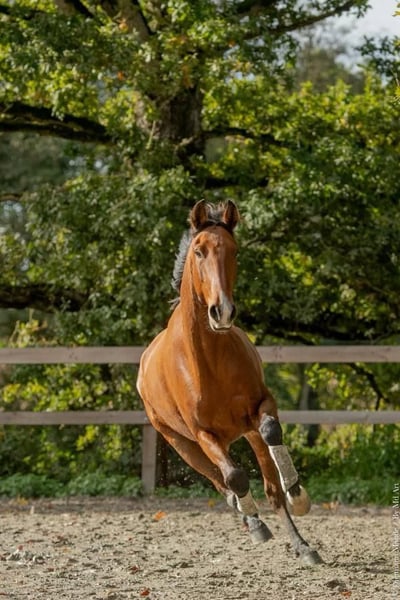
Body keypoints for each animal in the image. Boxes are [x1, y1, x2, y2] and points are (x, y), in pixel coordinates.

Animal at [137, 200, 321, 565]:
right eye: (199, 251)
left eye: (234, 251)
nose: (222, 312)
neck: (210, 360)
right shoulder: (203, 434)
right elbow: (234, 477)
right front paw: (256, 523)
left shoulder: (262, 405)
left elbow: (273, 434)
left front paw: (298, 495)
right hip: (183, 446)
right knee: (221, 482)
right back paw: (253, 521)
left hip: (246, 432)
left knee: (270, 487)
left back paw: (301, 545)